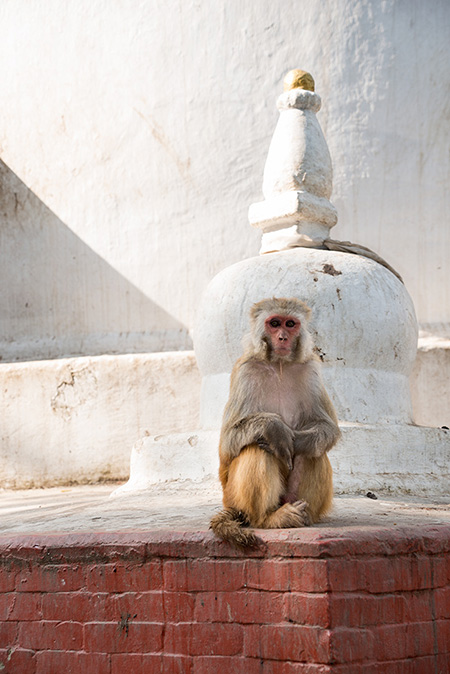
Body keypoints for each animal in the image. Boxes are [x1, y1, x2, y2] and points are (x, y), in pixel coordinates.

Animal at [211, 296, 342, 544]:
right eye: (274, 323)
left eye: (290, 324)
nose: (282, 337)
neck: (279, 364)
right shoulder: (245, 371)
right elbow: (228, 441)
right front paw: (276, 429)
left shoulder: (311, 370)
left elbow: (327, 428)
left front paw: (295, 441)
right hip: (233, 496)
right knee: (256, 448)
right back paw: (269, 519)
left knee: (314, 451)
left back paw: (300, 515)